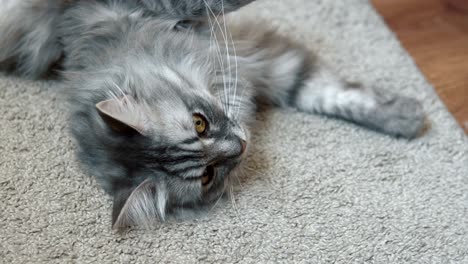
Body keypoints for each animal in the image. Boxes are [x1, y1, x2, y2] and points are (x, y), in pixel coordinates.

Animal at [0, 0, 424, 229]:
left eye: (199, 123)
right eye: (207, 175)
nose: (240, 146)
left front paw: (407, 117)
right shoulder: (262, 64)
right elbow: (325, 94)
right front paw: (411, 118)